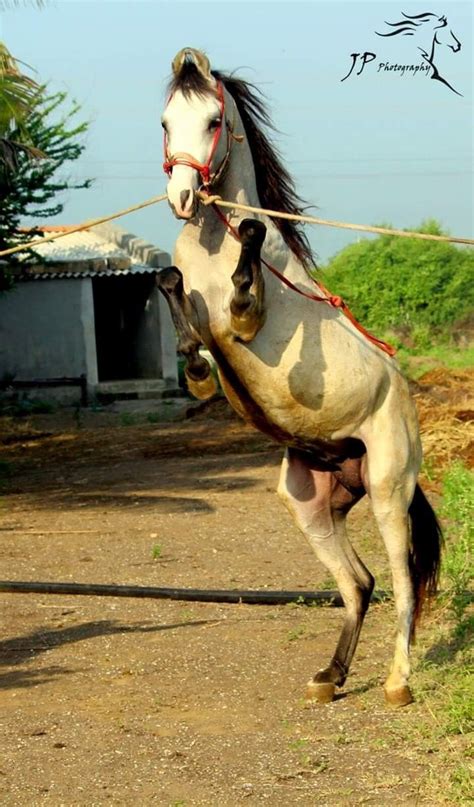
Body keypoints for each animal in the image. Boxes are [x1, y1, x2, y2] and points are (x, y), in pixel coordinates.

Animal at [156, 47, 442, 707]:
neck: (213, 243)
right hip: (309, 504)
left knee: (402, 579)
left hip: (389, 487)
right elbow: (168, 284)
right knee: (360, 582)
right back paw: (329, 678)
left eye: (213, 120)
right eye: (165, 121)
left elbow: (246, 269)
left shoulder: (246, 320)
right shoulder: (190, 301)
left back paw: (397, 683)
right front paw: (197, 370)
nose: (182, 196)